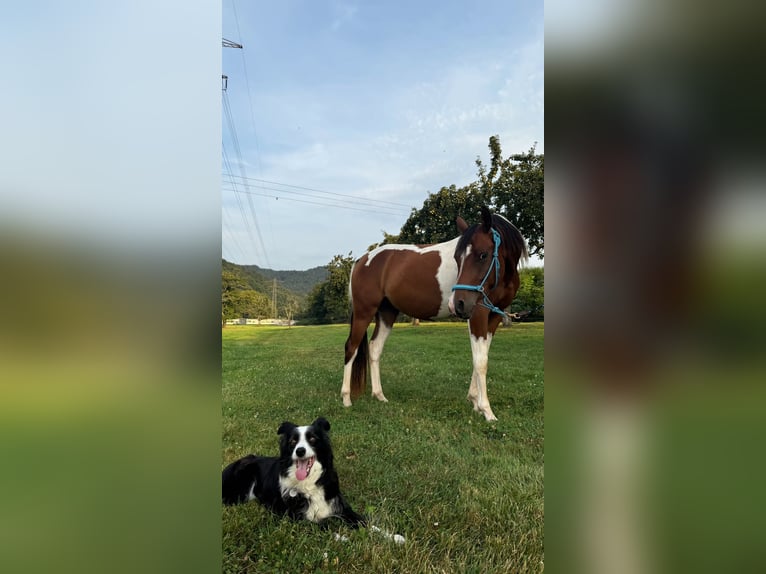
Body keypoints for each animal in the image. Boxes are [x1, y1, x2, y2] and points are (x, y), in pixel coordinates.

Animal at [220, 416, 368, 528]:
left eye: (312, 439)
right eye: (293, 441)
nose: (300, 451)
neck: (309, 482)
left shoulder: (339, 504)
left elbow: (361, 520)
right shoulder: (296, 516)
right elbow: (326, 525)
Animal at [340, 207, 528, 424]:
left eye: (483, 255)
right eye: (457, 258)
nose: (457, 304)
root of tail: (362, 260)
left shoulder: (495, 316)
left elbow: (481, 357)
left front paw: (474, 401)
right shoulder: (478, 312)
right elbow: (480, 361)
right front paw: (486, 410)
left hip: (387, 313)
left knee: (374, 348)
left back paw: (379, 396)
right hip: (364, 312)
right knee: (351, 348)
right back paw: (346, 399)